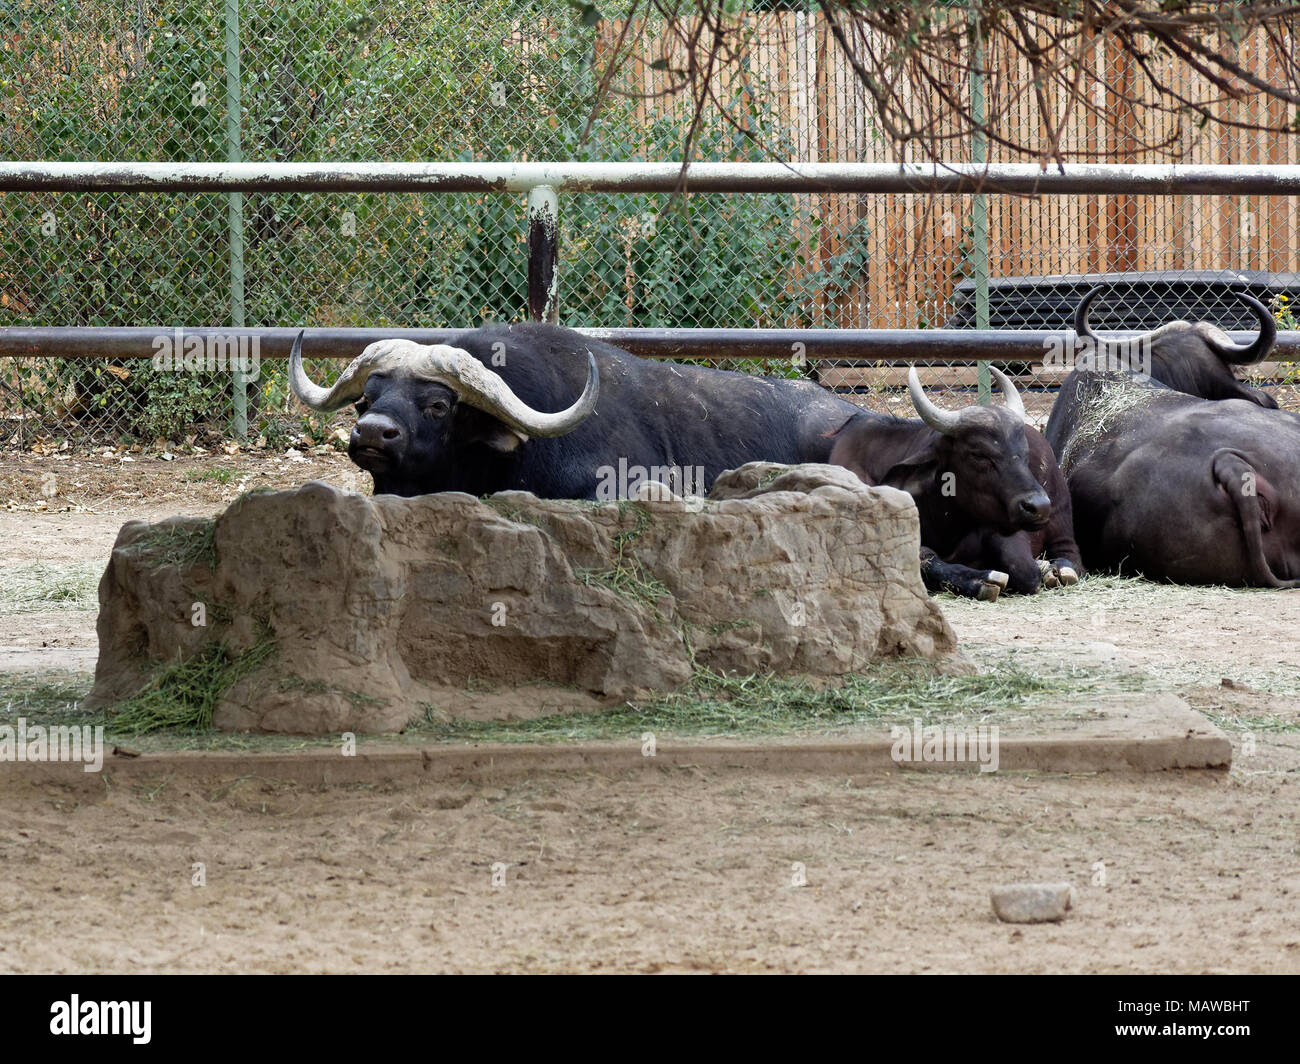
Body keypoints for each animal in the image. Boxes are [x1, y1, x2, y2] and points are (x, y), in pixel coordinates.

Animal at [826, 364, 1081, 598]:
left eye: (1025, 453)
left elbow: (1025, 570)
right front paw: (980, 580)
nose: (1039, 506)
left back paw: (1058, 570)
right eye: (979, 454)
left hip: (1060, 522)